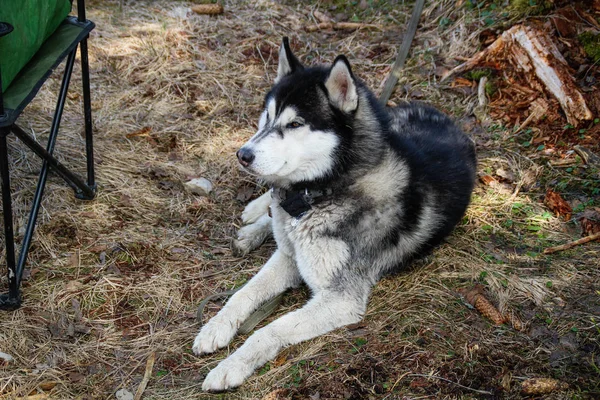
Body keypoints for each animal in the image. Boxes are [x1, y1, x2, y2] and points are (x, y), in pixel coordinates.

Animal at [195, 37, 476, 390]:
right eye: (266, 116)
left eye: (295, 124)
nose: (242, 155)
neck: (323, 191)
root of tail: (444, 115)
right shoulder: (289, 256)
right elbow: (243, 294)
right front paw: (215, 327)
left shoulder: (341, 299)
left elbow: (269, 329)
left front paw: (231, 366)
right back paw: (256, 218)